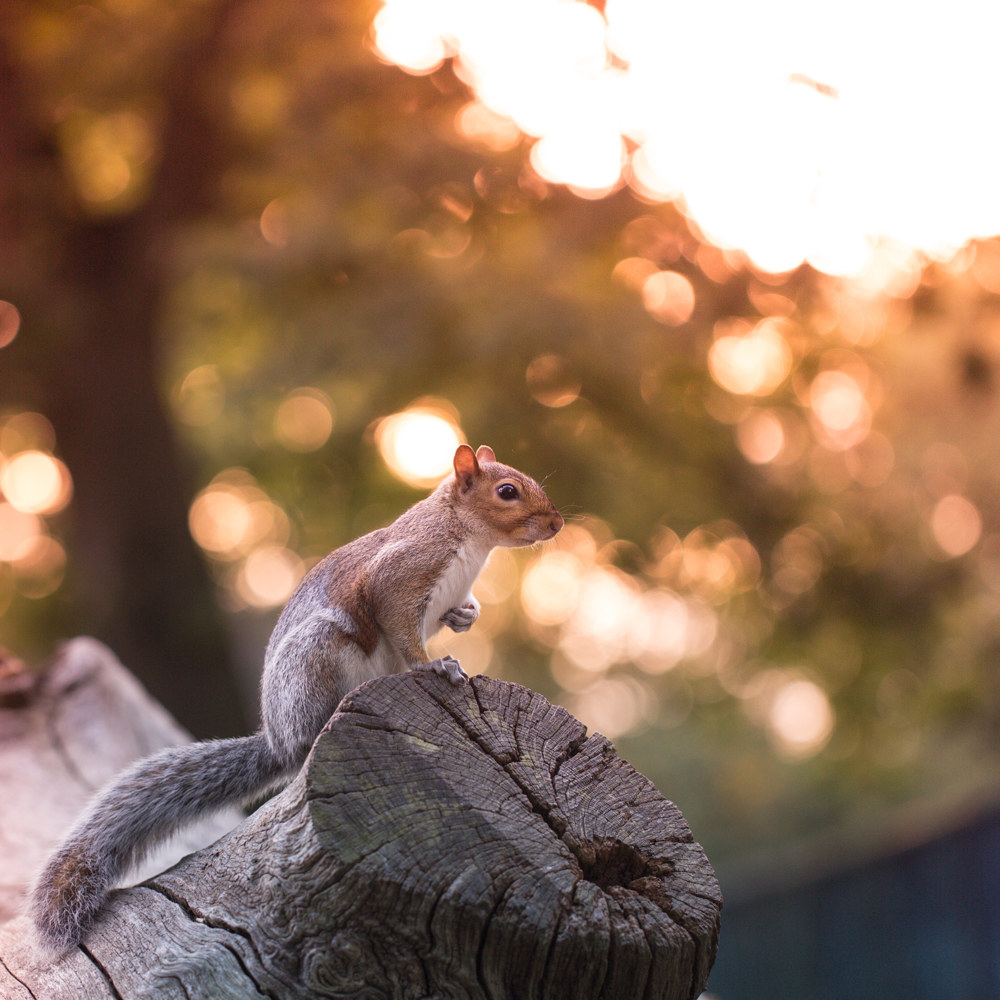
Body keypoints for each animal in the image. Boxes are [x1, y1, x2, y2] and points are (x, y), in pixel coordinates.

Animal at [30, 443, 563, 952]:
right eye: (508, 492)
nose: (557, 524)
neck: (466, 539)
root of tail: (277, 740)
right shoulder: (399, 576)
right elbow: (402, 632)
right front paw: (434, 665)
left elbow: (455, 614)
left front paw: (465, 617)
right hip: (316, 659)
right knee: (310, 736)